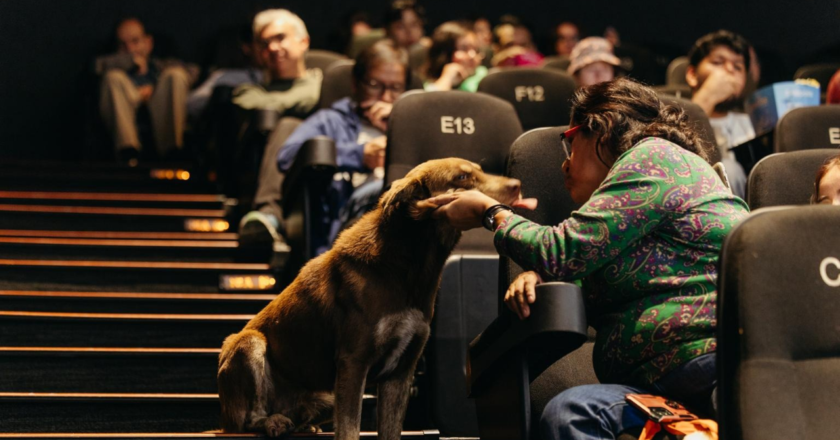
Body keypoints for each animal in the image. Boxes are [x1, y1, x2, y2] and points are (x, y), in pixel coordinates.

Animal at [217, 157, 520, 436]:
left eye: (480, 170)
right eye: (462, 177)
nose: (516, 185)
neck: (411, 264)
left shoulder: (401, 373)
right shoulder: (354, 362)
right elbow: (350, 430)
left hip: (328, 395)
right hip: (249, 344)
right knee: (249, 418)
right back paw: (273, 422)